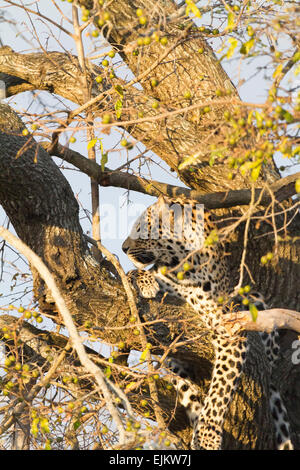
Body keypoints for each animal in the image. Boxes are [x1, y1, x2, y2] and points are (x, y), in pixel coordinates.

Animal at [122, 196, 292, 452]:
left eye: (142, 227)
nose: (123, 248)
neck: (186, 261)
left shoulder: (229, 330)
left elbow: (219, 391)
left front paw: (207, 436)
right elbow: (132, 273)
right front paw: (146, 282)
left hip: (255, 301)